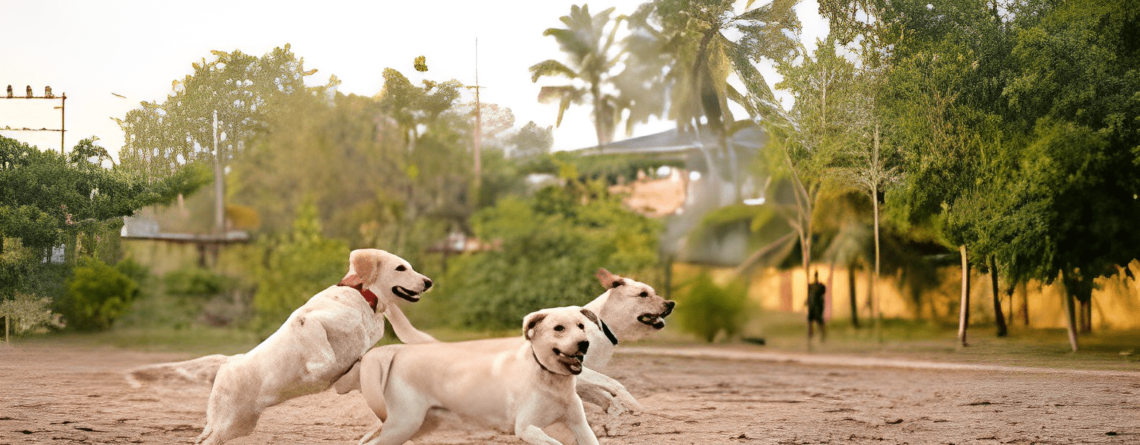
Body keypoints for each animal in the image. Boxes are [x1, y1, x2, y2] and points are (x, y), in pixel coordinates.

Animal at [193, 249, 433, 445]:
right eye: (400, 268)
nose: (428, 282)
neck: (364, 297)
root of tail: (227, 363)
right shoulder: (307, 322)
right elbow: (326, 360)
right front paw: (323, 374)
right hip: (225, 423)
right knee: (206, 438)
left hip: (237, 427)